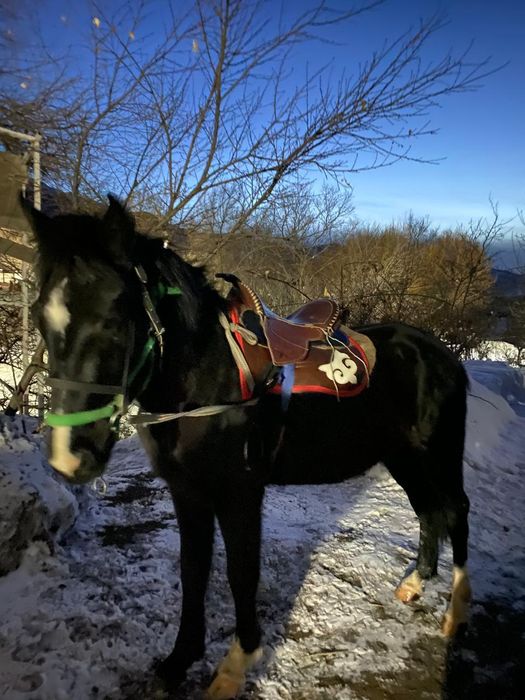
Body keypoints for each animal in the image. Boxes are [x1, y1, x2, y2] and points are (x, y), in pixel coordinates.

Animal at [24, 196, 471, 699]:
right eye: (41, 316)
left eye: (116, 319)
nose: (70, 455)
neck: (205, 378)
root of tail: (441, 354)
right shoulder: (188, 493)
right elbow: (193, 569)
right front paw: (179, 661)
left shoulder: (240, 495)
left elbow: (241, 573)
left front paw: (235, 666)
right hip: (403, 457)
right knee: (428, 512)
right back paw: (414, 584)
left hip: (438, 455)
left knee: (455, 510)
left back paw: (456, 615)